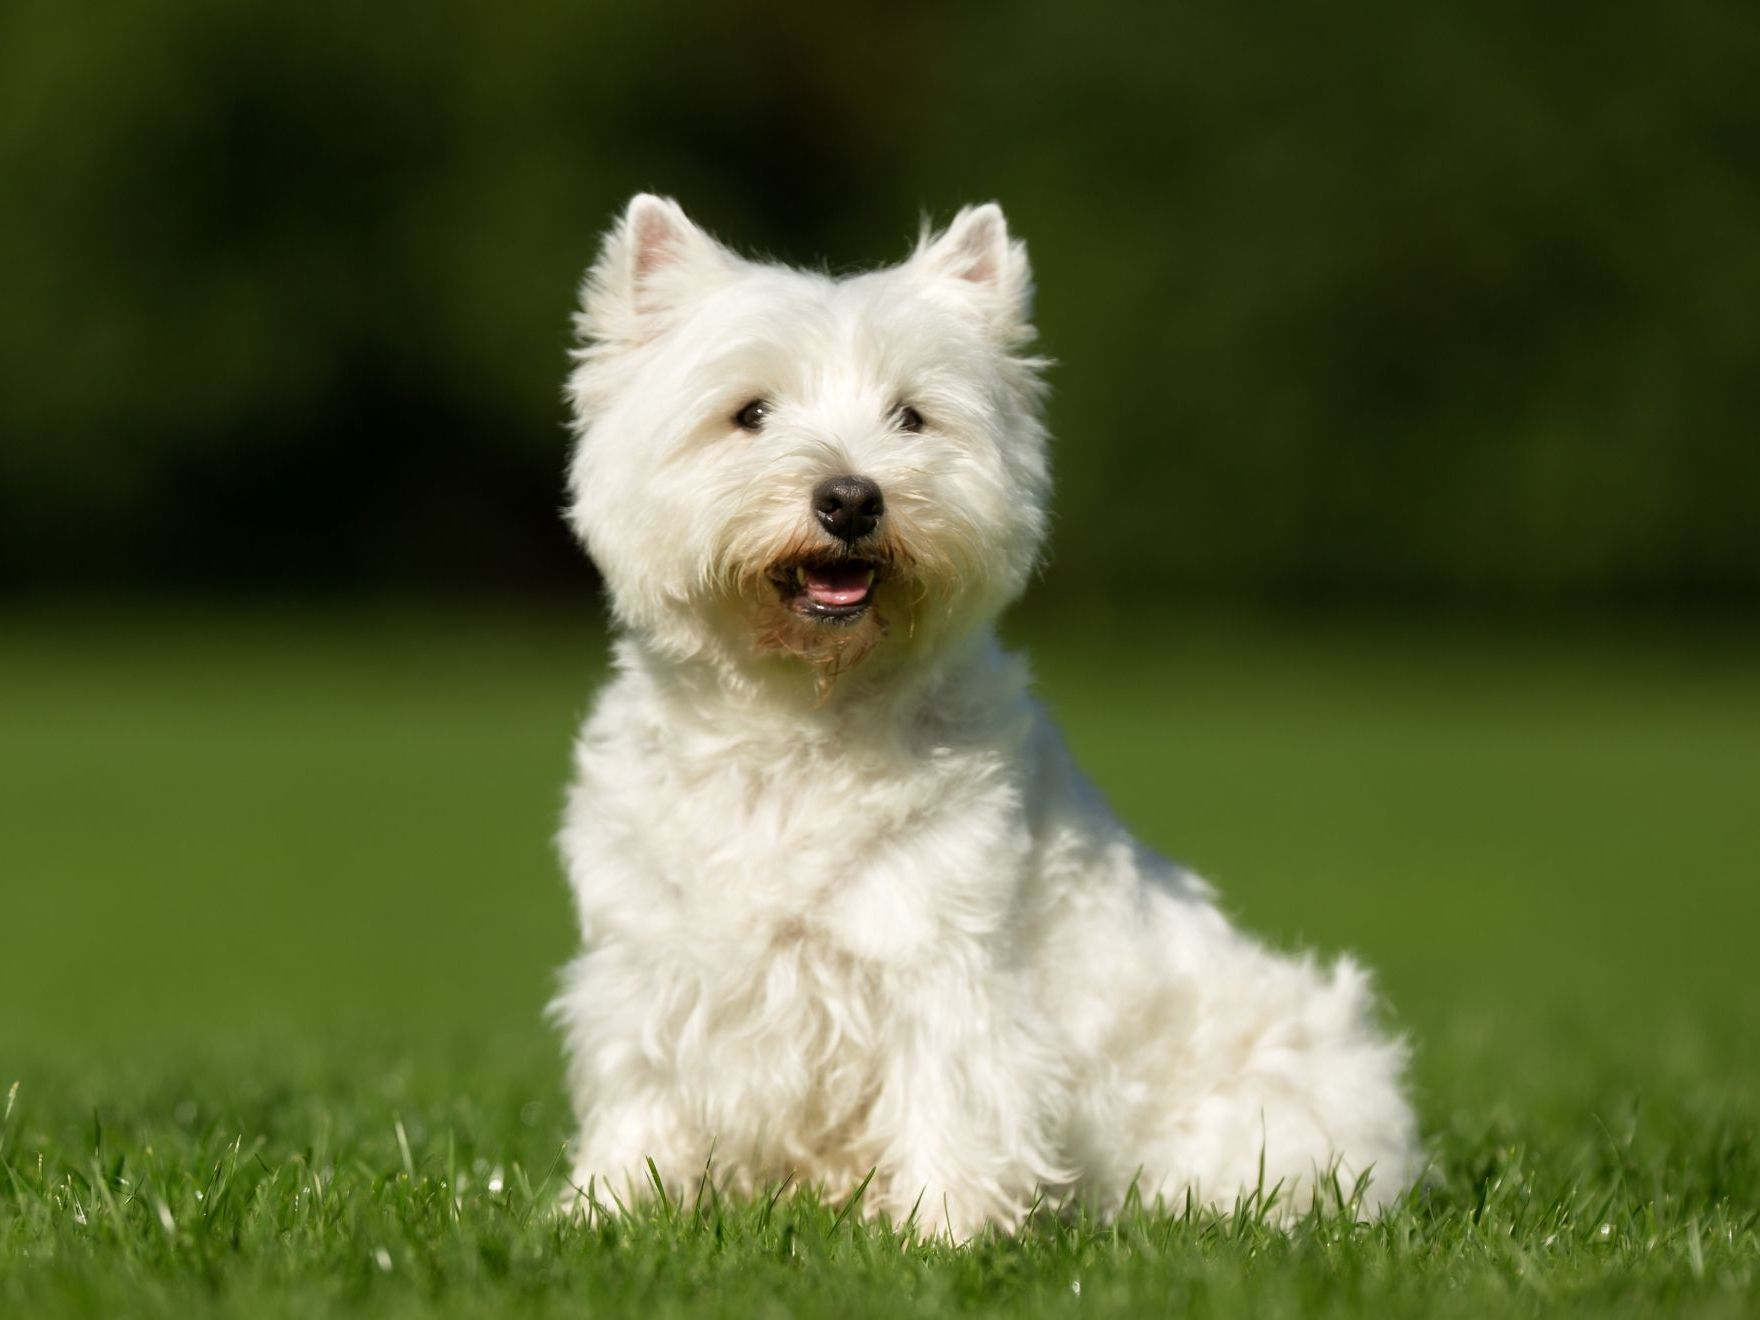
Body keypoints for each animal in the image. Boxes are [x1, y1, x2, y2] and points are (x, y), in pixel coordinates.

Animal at [549, 196, 1415, 1239]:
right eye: (749, 412)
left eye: (911, 416)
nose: (851, 498)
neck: (798, 718)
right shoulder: (652, 961)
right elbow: (645, 1086)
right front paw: (603, 1207)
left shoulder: (942, 960)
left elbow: (951, 1095)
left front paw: (938, 1233)